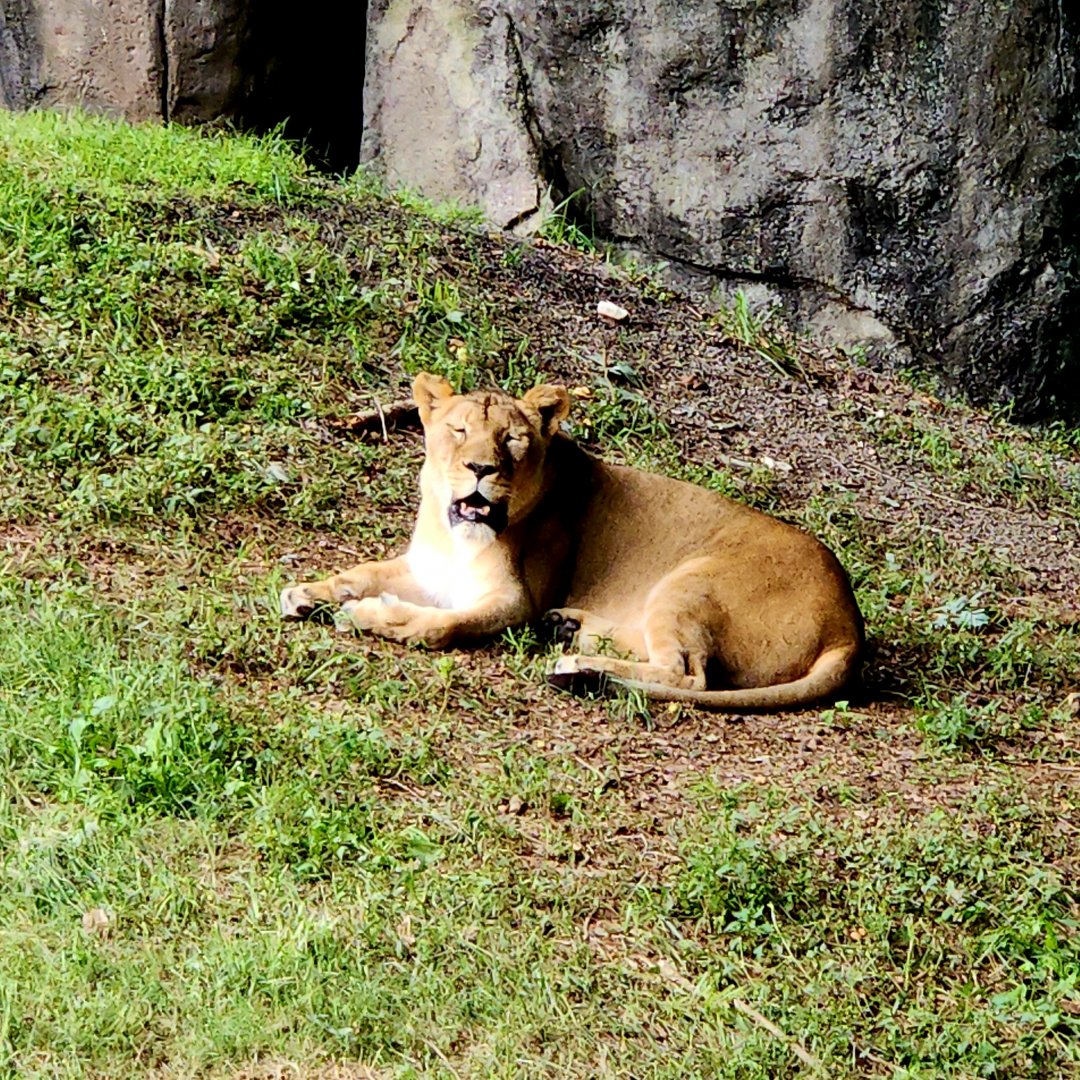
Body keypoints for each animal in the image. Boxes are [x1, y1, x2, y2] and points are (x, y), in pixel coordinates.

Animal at [280, 372, 864, 710]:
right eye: (459, 431)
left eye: (512, 439)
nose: (480, 469)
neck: (455, 535)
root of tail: (849, 624)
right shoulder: (426, 568)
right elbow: (360, 573)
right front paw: (308, 592)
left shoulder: (515, 599)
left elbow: (444, 624)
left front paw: (372, 615)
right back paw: (571, 630)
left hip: (692, 580)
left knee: (689, 675)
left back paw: (577, 667)